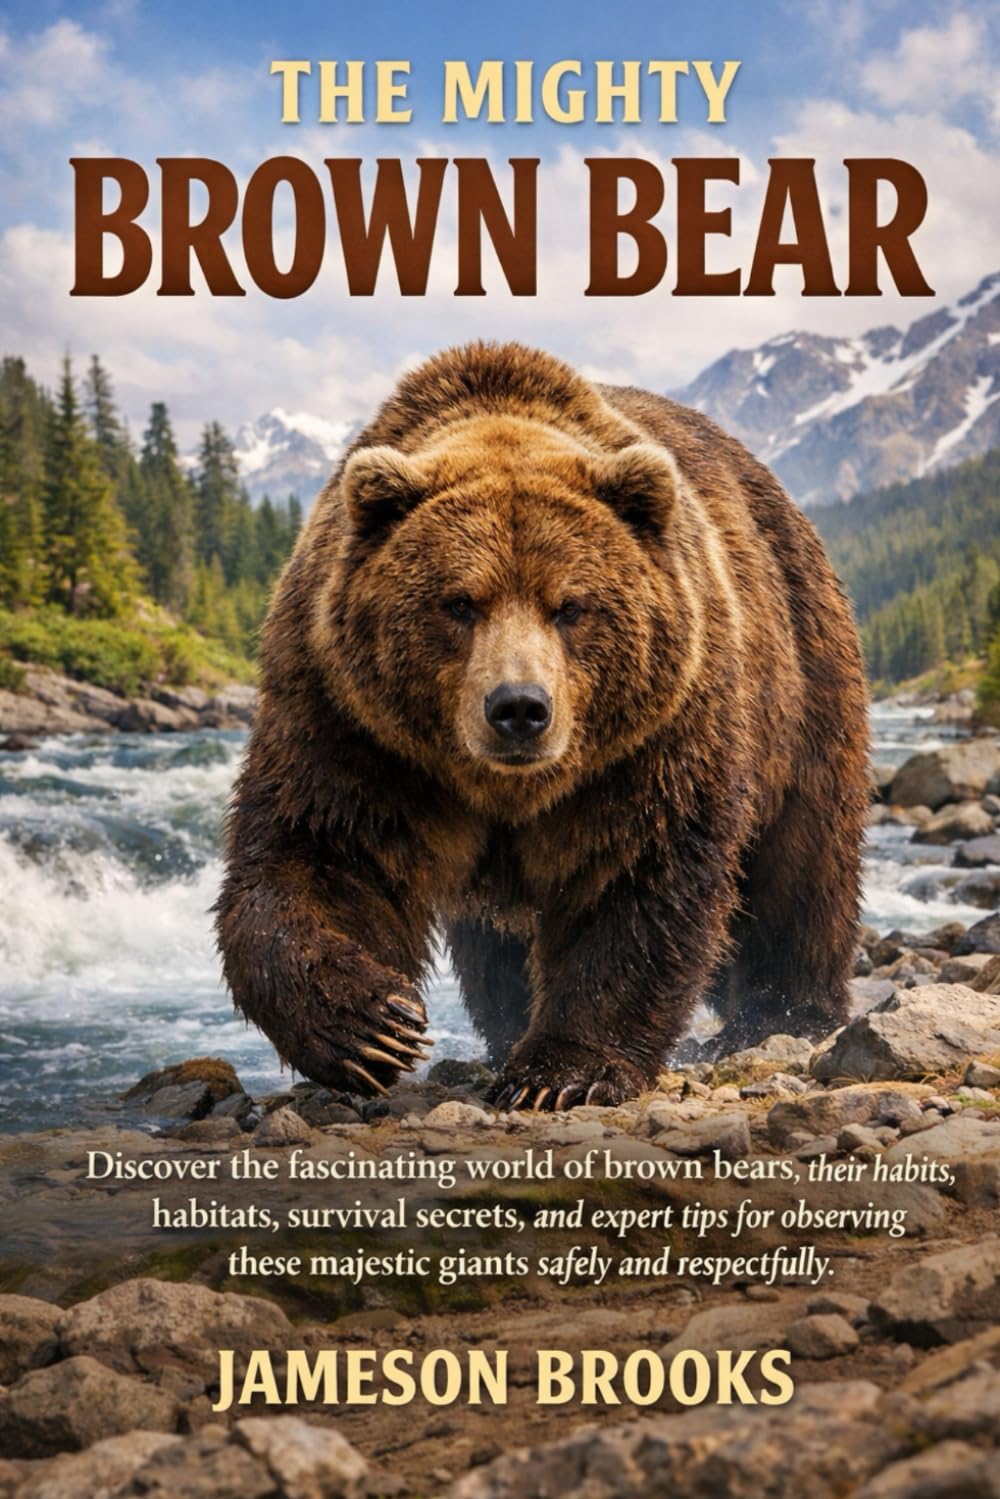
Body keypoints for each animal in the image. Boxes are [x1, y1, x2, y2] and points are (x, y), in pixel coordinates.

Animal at [216, 341, 869, 1110]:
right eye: (460, 602)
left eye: (571, 605)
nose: (519, 707)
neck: (504, 787)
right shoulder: (353, 722)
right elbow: (321, 851)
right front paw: (372, 1026)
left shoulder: (654, 737)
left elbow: (636, 873)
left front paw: (562, 1072)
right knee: (490, 945)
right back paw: (504, 1027)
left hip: (801, 676)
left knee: (801, 867)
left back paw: (786, 1013)